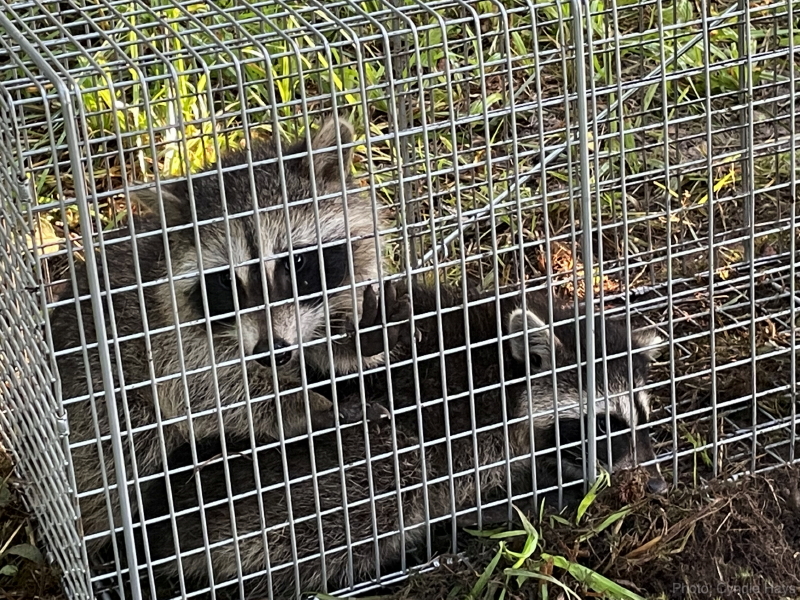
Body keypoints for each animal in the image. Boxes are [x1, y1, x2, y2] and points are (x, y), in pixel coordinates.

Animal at [49, 116, 407, 556]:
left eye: (296, 263)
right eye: (226, 282)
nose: (272, 354)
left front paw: (352, 343)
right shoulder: (167, 339)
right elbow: (209, 391)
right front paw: (309, 405)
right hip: (96, 400)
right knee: (128, 448)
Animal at [122, 284, 664, 600]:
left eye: (641, 416)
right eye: (603, 424)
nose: (655, 484)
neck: (503, 372)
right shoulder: (469, 429)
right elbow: (459, 486)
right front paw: (515, 504)